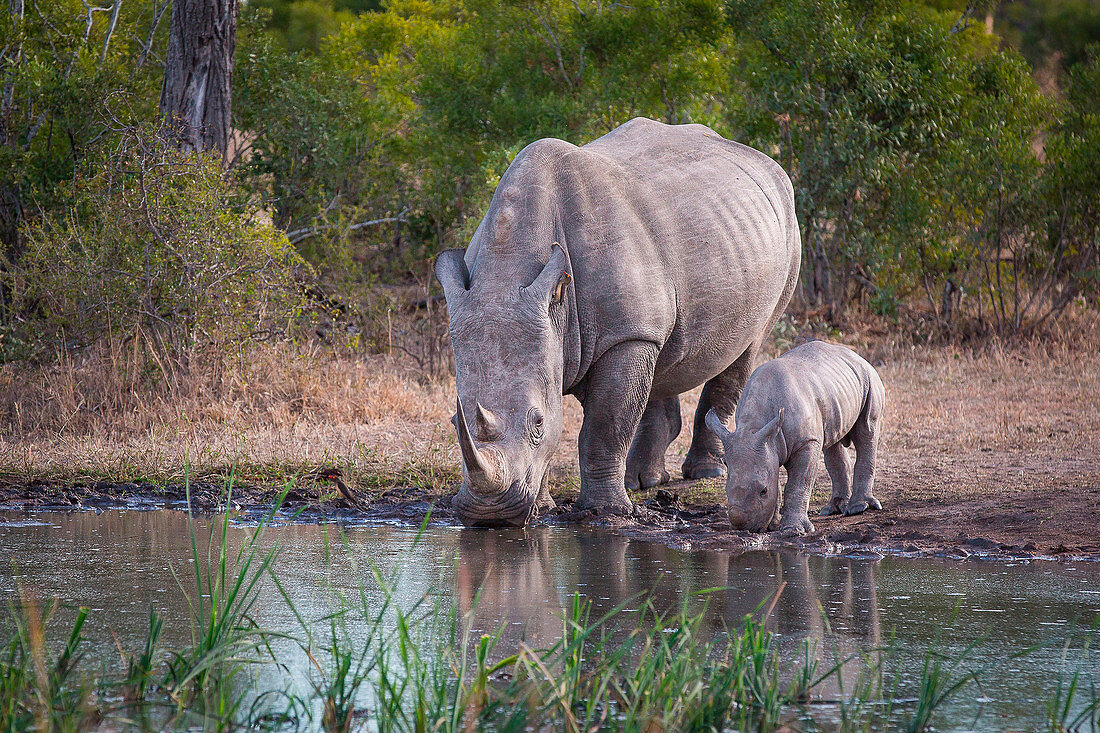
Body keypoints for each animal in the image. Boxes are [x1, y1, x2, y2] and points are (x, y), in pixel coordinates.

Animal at [704, 338, 884, 534]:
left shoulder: (806, 442)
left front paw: (792, 530)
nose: (741, 526)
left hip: (869, 379)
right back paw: (833, 509)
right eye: (726, 490)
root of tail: (858, 356)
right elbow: (774, 476)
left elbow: (798, 483)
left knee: (867, 430)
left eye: (763, 491)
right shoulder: (766, 442)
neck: (753, 426)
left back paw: (858, 508)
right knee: (833, 443)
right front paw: (773, 525)